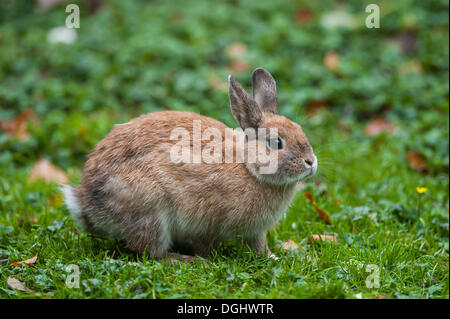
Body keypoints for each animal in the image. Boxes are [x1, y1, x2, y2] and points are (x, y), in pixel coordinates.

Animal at [62, 67, 316, 262]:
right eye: (277, 142)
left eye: (301, 130)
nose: (311, 162)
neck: (248, 166)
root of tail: (87, 205)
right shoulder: (205, 220)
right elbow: (204, 244)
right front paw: (209, 259)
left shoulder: (257, 232)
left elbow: (259, 246)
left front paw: (272, 257)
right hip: (150, 210)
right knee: (150, 252)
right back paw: (184, 260)